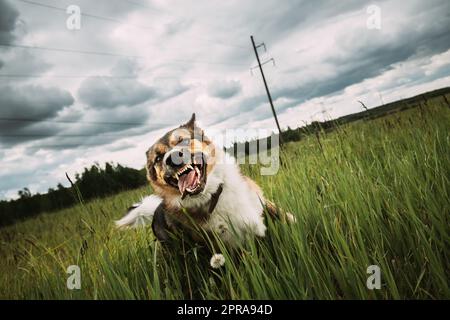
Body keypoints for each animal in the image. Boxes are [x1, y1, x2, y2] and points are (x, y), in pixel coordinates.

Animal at [114, 114, 294, 246]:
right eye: (158, 158)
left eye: (184, 140)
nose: (172, 159)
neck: (214, 195)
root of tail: (156, 210)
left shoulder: (261, 204)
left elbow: (286, 217)